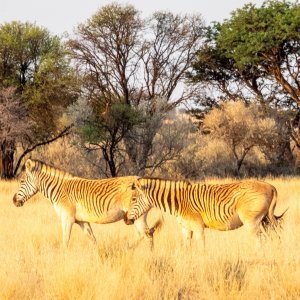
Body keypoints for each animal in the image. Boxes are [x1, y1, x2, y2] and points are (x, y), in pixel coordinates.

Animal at [12, 158, 161, 247]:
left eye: (21, 181)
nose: (14, 201)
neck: (60, 191)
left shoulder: (67, 219)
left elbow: (65, 241)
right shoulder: (82, 221)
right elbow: (92, 239)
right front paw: (98, 257)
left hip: (138, 215)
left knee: (147, 235)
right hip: (135, 216)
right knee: (144, 234)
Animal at [125, 178, 286, 248]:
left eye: (133, 199)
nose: (126, 220)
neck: (178, 202)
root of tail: (269, 186)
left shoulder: (198, 227)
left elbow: (202, 247)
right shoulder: (185, 228)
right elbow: (186, 248)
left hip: (252, 222)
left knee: (260, 241)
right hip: (265, 220)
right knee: (275, 238)